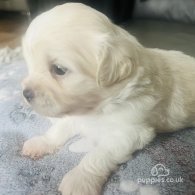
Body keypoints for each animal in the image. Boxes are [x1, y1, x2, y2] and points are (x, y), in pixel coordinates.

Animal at [21, 2, 195, 194]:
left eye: (59, 69)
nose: (25, 93)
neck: (96, 107)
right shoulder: (75, 112)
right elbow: (59, 129)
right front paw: (41, 142)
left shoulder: (128, 131)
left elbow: (98, 155)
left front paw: (79, 179)